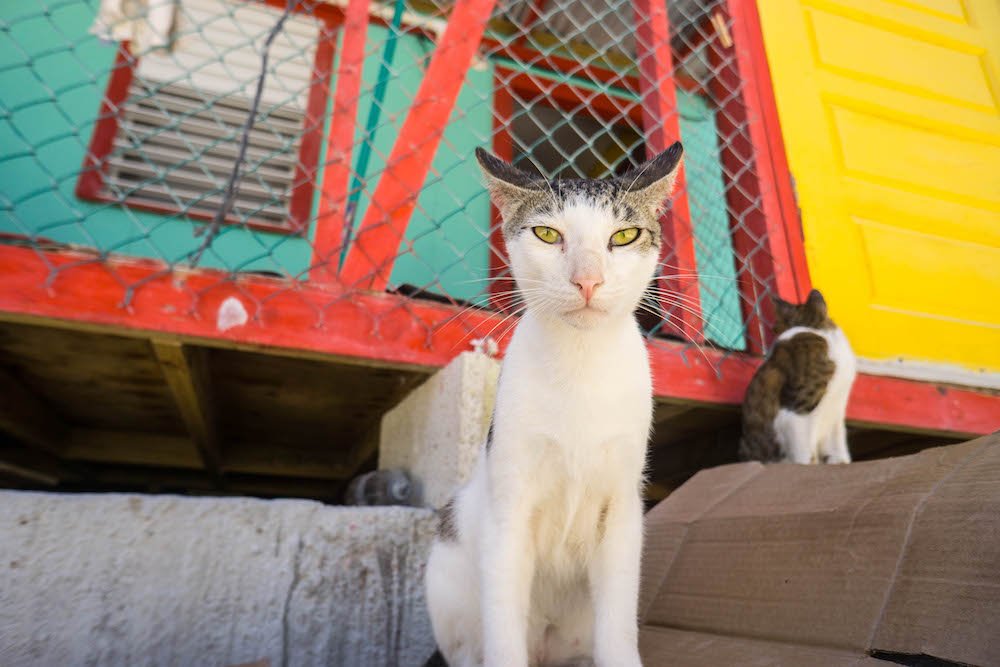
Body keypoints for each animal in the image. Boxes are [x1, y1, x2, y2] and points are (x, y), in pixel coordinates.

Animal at [422, 142, 688, 667]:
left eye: (623, 236)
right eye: (548, 234)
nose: (587, 280)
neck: (579, 364)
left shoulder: (622, 507)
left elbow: (617, 626)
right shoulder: (508, 504)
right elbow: (503, 623)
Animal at [740, 290, 856, 468]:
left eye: (774, 328)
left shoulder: (836, 410)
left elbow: (837, 445)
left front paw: (840, 461)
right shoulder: (796, 409)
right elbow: (804, 454)